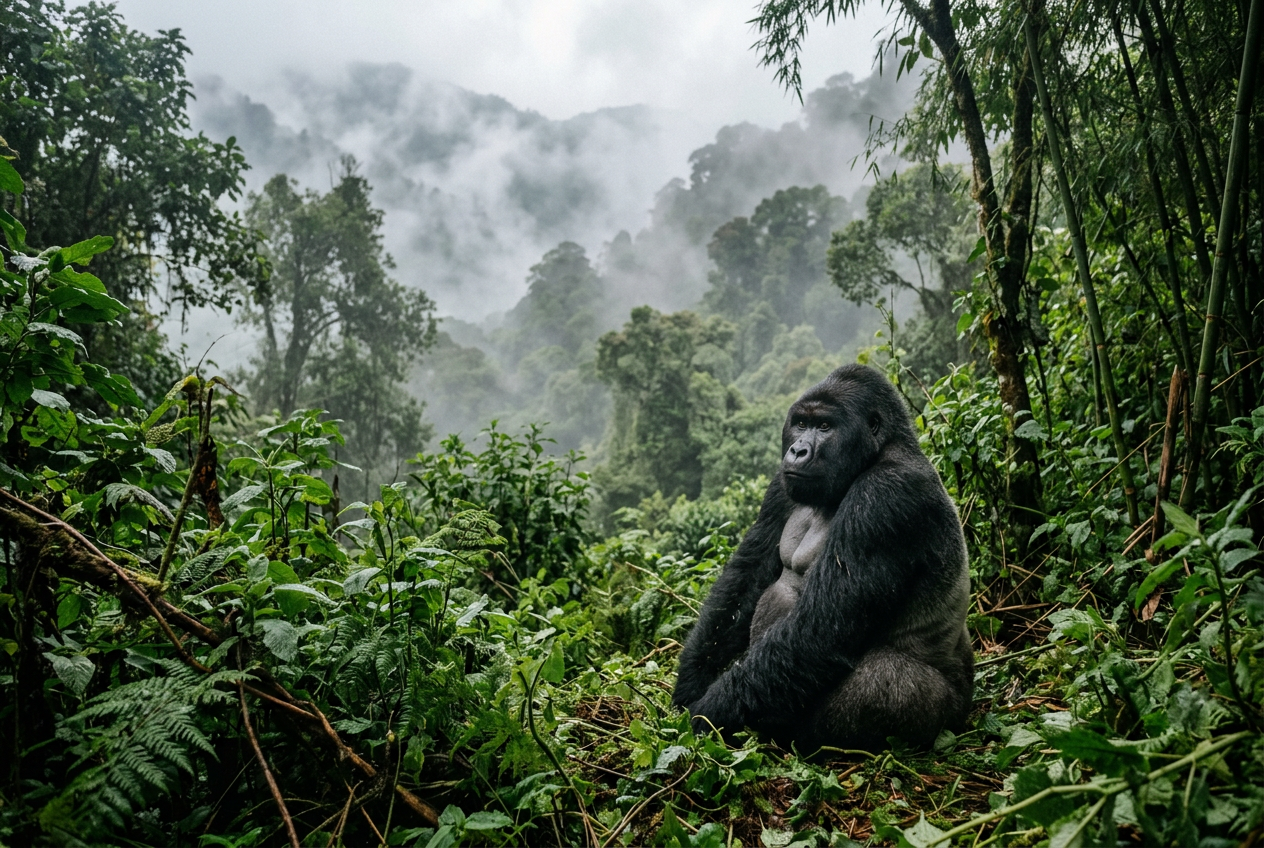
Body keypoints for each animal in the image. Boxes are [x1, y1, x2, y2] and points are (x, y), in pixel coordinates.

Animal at [672, 363, 973, 751]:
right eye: (801, 424)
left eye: (826, 426)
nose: (798, 451)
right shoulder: (781, 484)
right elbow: (747, 577)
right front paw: (691, 682)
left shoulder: (886, 496)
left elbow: (819, 632)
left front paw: (710, 712)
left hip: (946, 716)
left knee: (878, 683)